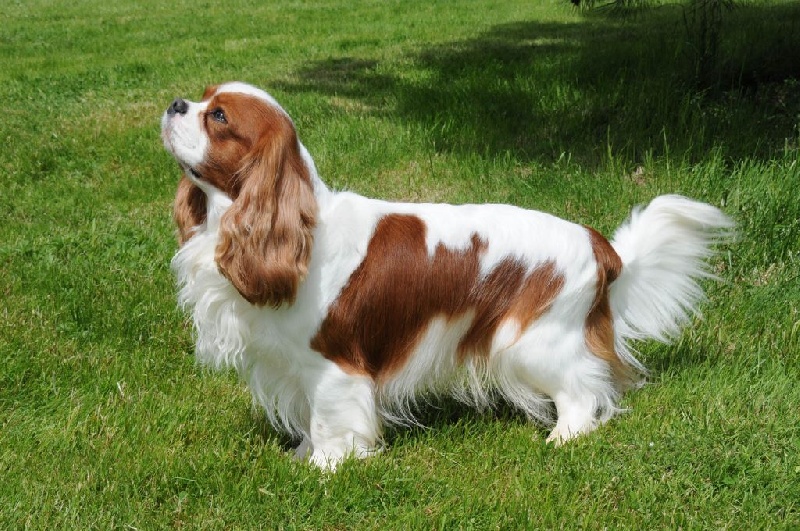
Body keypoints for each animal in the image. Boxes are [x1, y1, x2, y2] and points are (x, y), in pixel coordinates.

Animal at [161, 81, 732, 469]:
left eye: (217, 116)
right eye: (203, 98)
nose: (175, 105)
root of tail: (599, 245)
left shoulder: (333, 363)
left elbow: (330, 418)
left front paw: (326, 467)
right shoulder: (290, 363)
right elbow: (307, 417)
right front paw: (302, 455)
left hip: (532, 341)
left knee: (585, 387)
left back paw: (564, 438)